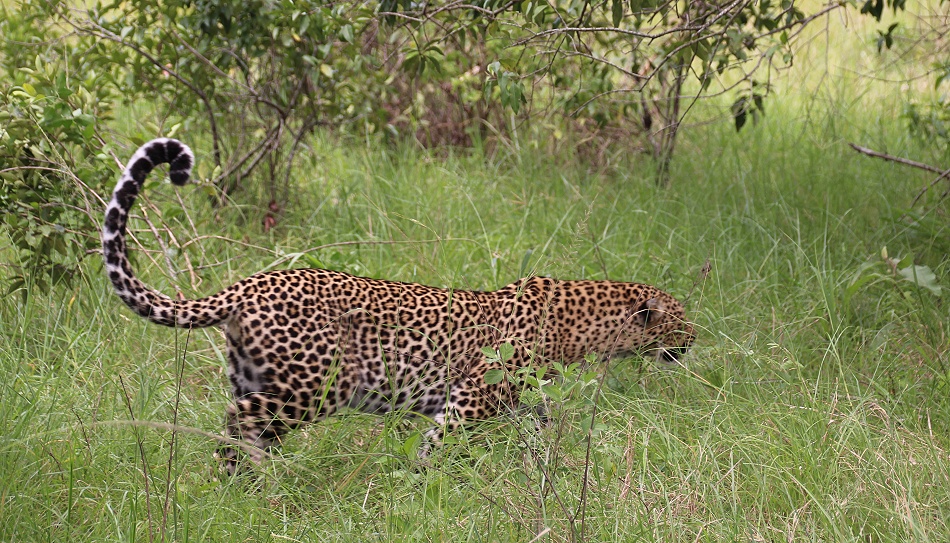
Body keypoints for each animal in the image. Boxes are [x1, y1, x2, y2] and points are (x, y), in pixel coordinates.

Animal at [102, 138, 695, 474]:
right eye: (681, 319)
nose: (693, 341)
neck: (584, 326)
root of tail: (250, 283)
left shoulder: (526, 404)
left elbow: (541, 438)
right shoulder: (471, 398)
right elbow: (441, 444)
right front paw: (420, 489)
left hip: (253, 377)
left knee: (238, 427)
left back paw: (247, 488)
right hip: (314, 387)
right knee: (236, 423)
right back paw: (247, 485)